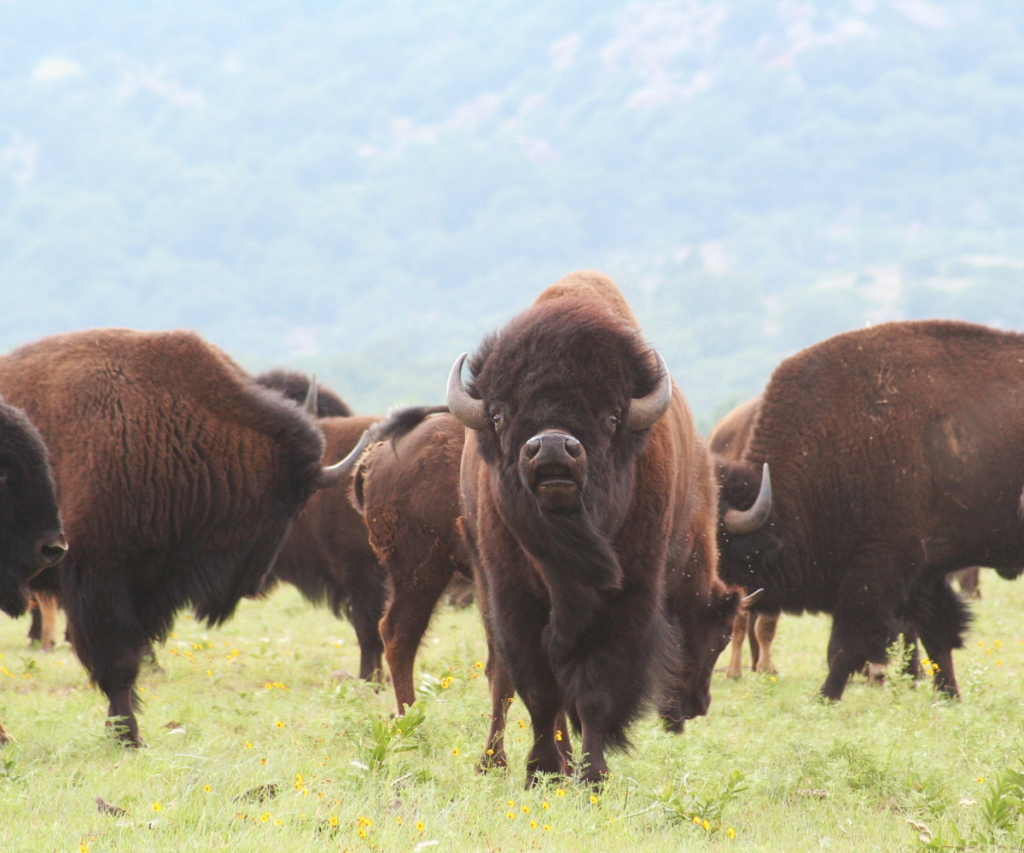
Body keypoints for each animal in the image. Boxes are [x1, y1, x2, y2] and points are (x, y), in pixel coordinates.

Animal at [0, 330, 360, 745]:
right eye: (293, 507)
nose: (254, 584)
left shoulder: (145, 584)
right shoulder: (99, 579)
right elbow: (118, 663)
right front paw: (128, 736)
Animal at [451, 271, 745, 785]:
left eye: (611, 416)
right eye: (499, 414)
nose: (551, 447)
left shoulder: (627, 599)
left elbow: (592, 693)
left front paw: (591, 775)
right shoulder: (514, 599)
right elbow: (539, 691)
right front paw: (541, 770)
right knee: (501, 677)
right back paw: (496, 762)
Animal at [715, 320, 1024, 701]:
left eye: (715, 545)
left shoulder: (876, 568)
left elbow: (847, 644)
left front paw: (825, 697)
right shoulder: (923, 574)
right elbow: (936, 635)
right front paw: (948, 695)